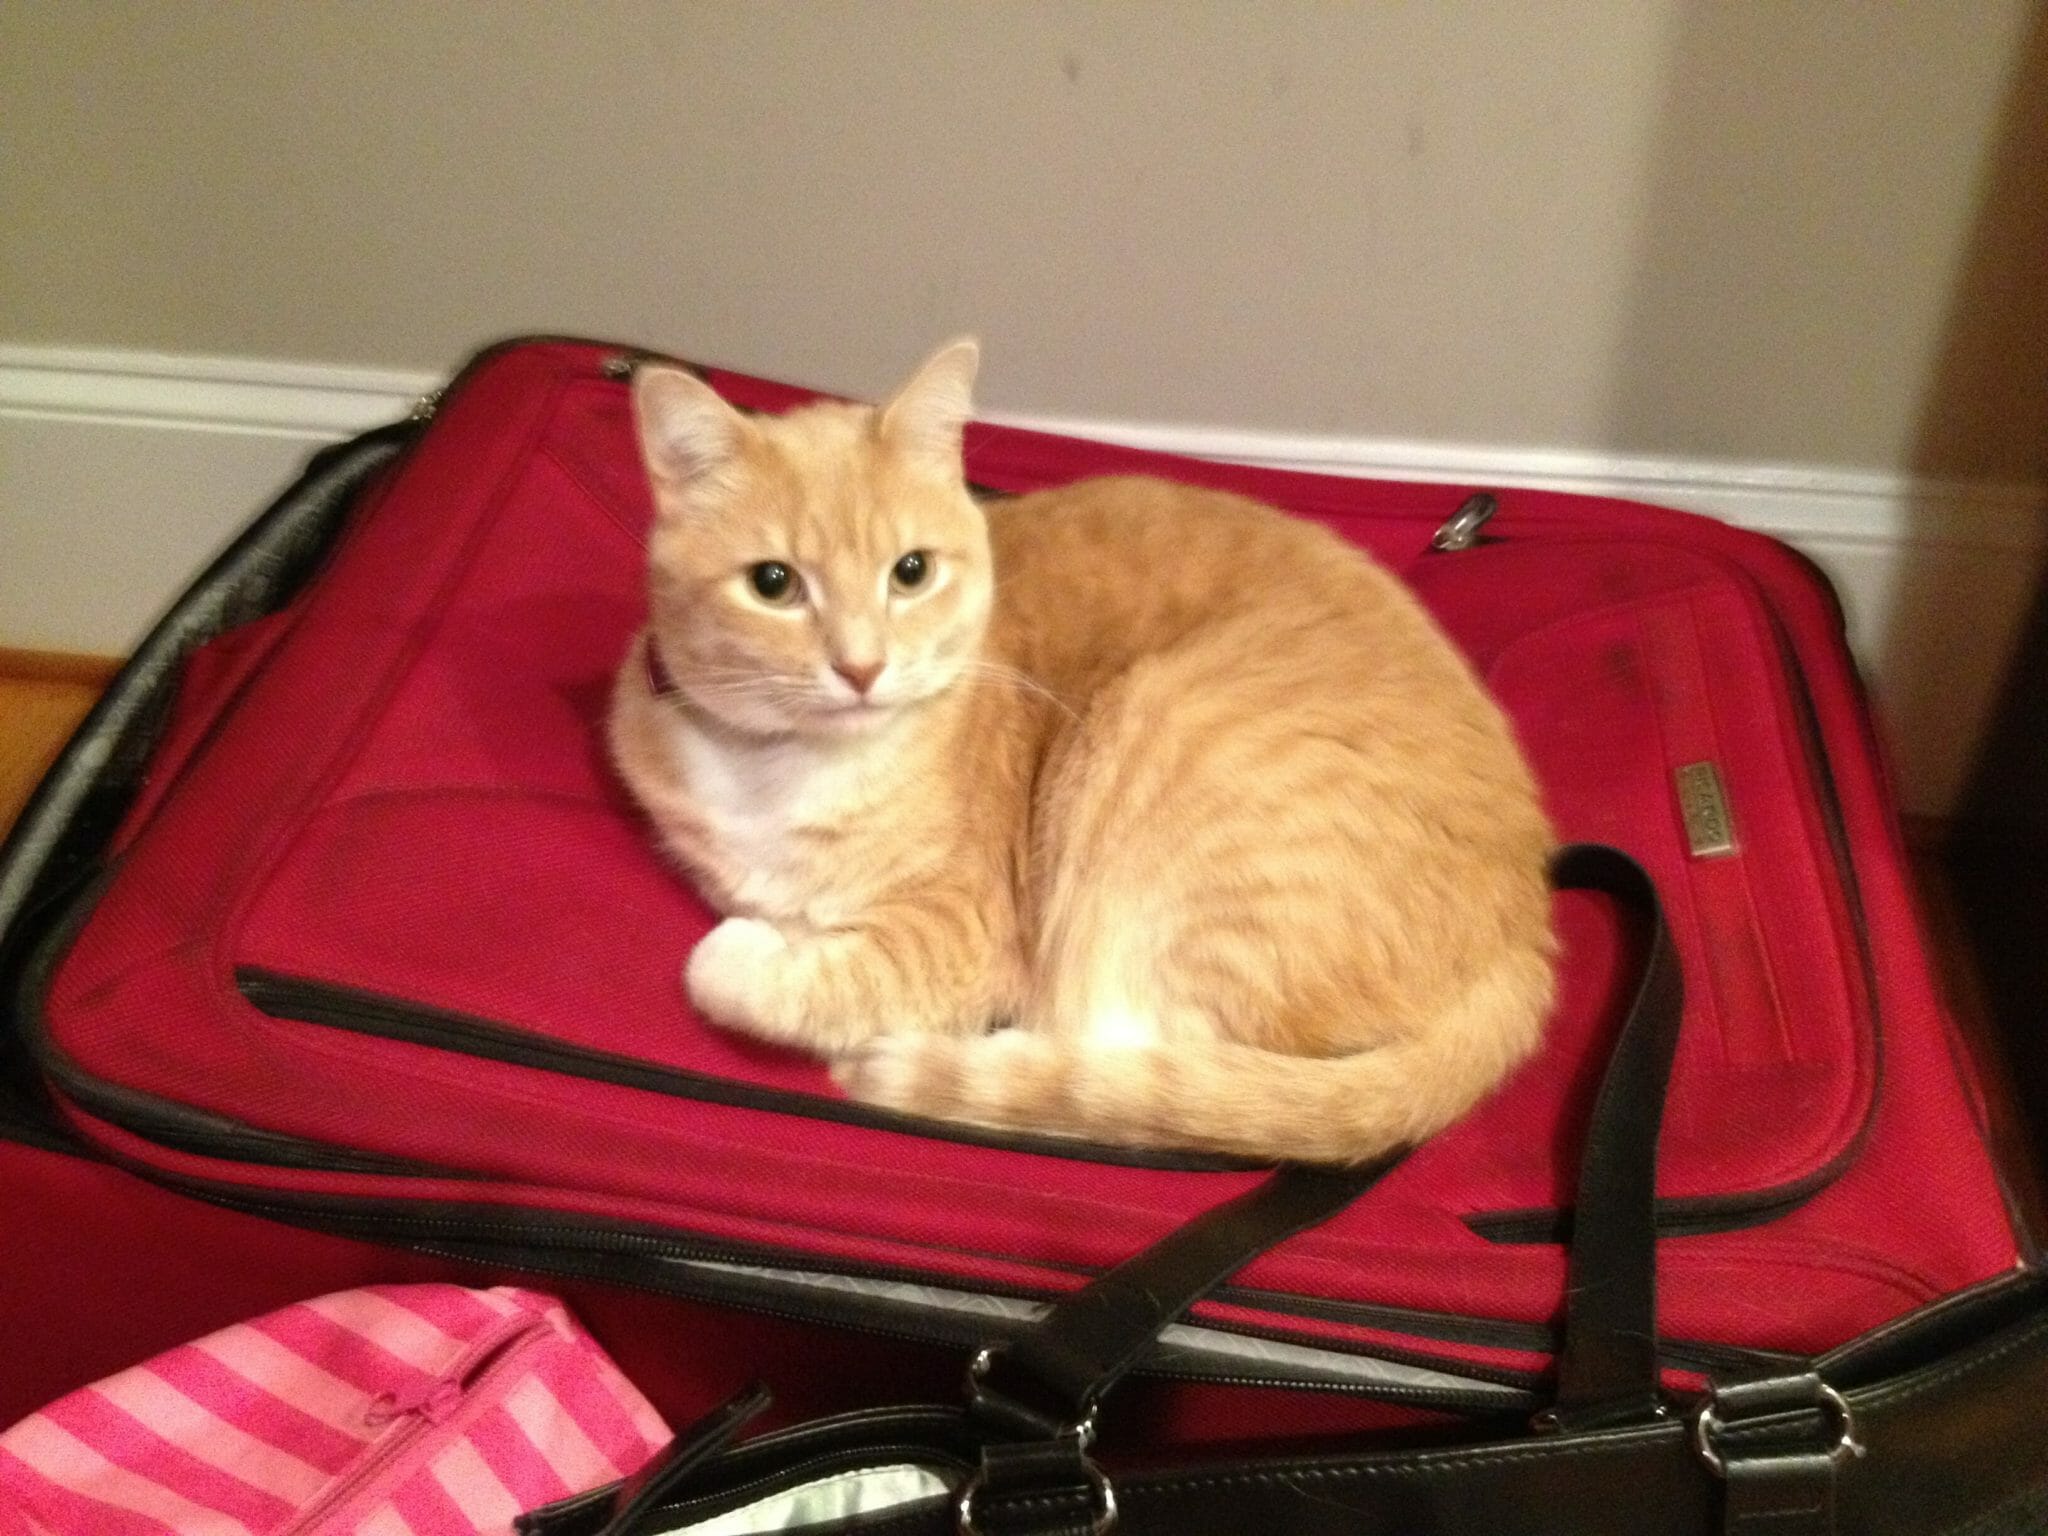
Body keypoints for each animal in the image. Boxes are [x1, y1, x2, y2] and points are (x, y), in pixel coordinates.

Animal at [606, 342, 1548, 1163]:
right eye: (773, 584)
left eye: (910, 572)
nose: (862, 667)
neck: (781, 771)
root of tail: (1525, 937)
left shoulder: (967, 934)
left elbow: (760, 972)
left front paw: (752, 950)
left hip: (1164, 745)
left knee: (1139, 1072)